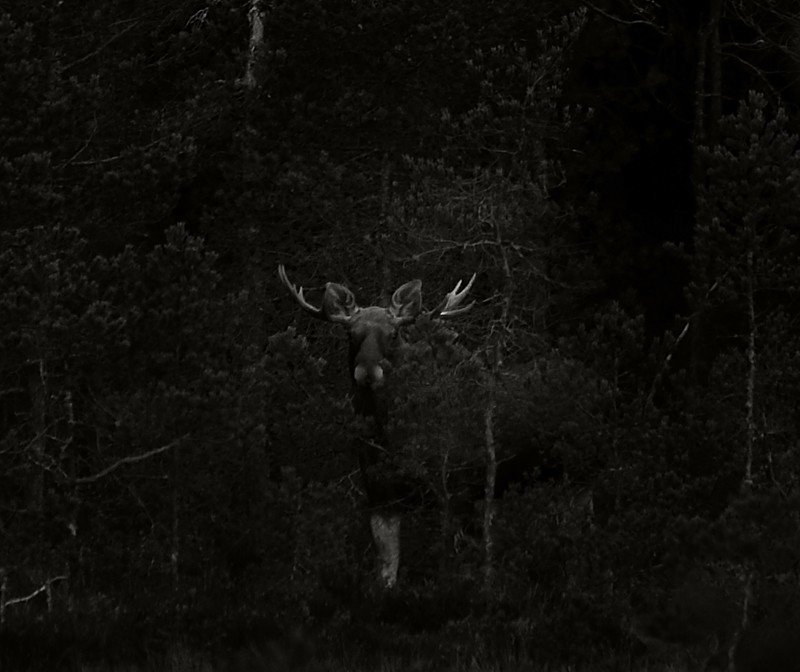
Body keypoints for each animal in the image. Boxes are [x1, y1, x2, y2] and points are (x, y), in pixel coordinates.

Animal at [277, 264, 475, 588]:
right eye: (350, 333)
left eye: (393, 333)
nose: (367, 372)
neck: (387, 439)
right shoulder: (379, 498)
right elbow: (386, 575)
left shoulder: (450, 490)